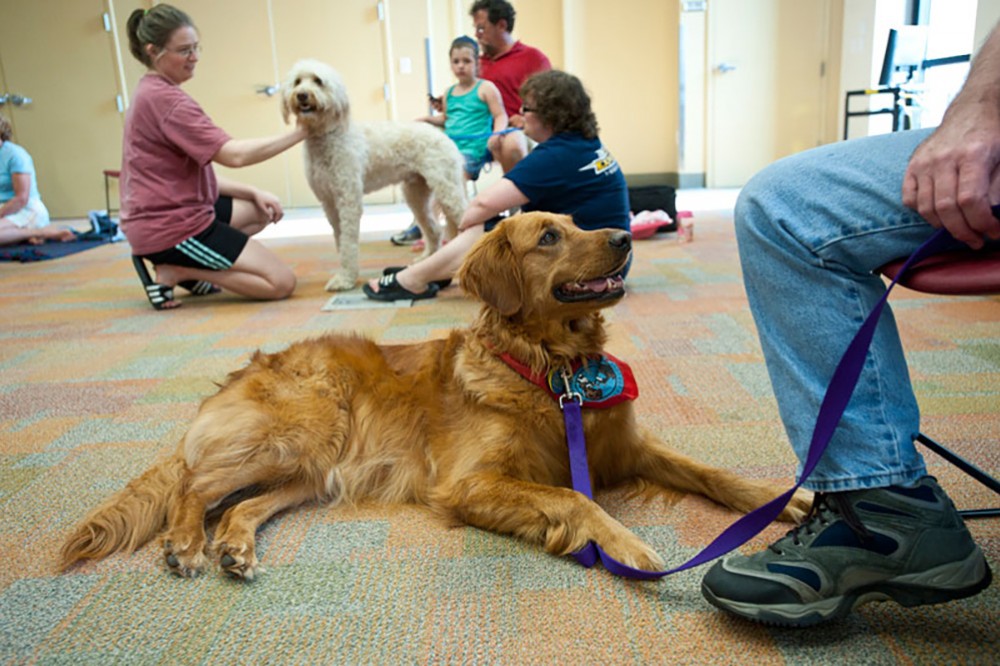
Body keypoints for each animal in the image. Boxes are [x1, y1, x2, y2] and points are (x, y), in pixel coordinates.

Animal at [59, 213, 810, 579]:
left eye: (578, 225)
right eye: (548, 236)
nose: (626, 236)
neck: (552, 369)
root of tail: (241, 374)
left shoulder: (626, 446)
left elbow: (709, 472)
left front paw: (786, 499)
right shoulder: (469, 482)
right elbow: (575, 500)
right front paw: (628, 547)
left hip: (311, 469)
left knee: (241, 505)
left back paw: (235, 548)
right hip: (299, 432)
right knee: (193, 487)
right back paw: (187, 543)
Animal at [281, 59, 467, 291]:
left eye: (318, 81)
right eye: (297, 82)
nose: (302, 95)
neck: (327, 136)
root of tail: (443, 134)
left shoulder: (348, 200)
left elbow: (348, 243)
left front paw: (346, 279)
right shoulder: (329, 203)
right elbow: (340, 241)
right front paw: (345, 275)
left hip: (447, 188)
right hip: (416, 193)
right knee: (434, 229)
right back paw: (426, 260)